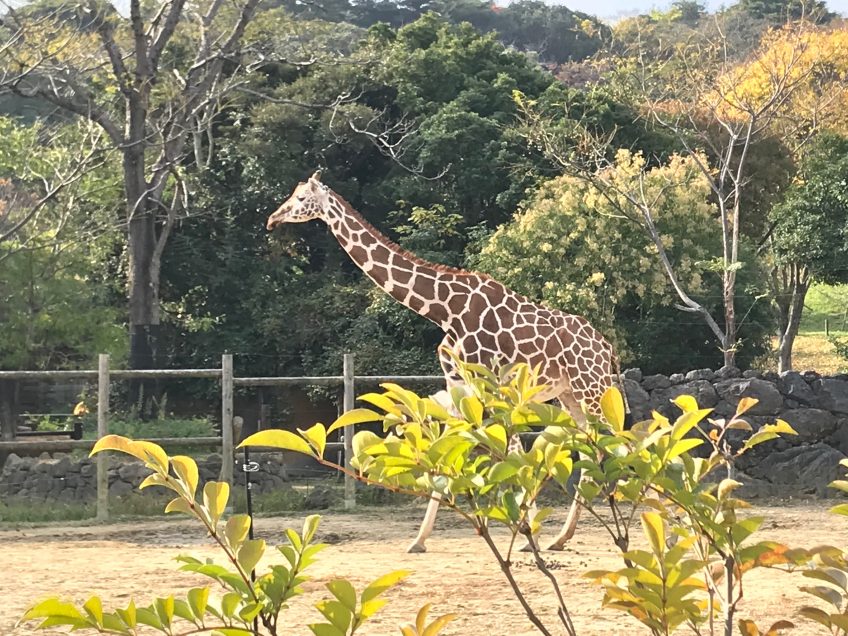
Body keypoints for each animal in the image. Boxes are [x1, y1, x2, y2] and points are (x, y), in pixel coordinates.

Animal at [268, 173, 628, 552]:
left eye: (301, 198)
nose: (272, 219)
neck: (443, 310)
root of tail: (606, 347)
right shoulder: (458, 384)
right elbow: (443, 448)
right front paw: (418, 540)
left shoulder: (490, 383)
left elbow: (511, 452)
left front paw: (527, 533)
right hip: (570, 393)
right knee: (591, 449)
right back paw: (562, 537)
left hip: (591, 388)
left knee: (616, 440)